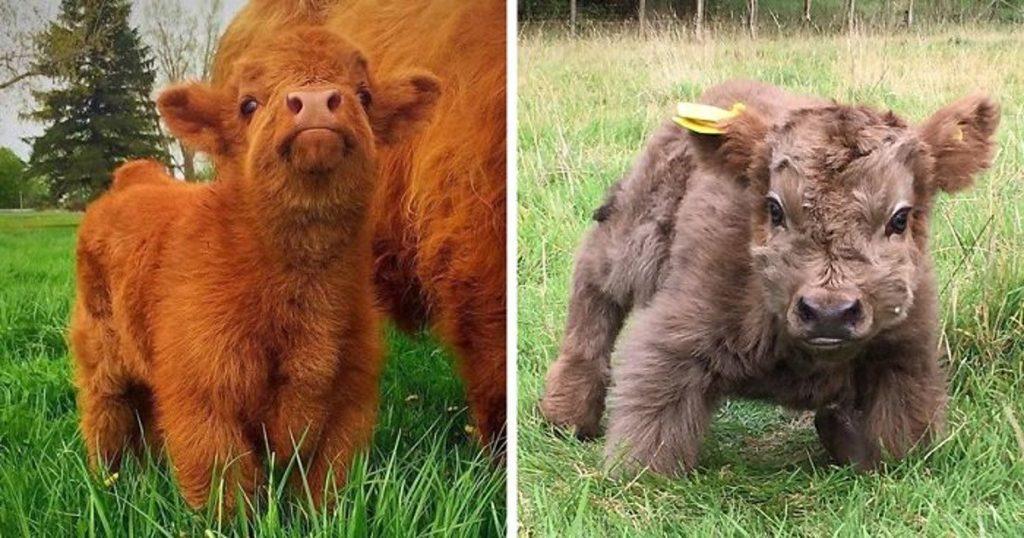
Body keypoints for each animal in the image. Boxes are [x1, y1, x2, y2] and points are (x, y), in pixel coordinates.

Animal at [69, 26, 439, 509]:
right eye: (247, 104)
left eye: (365, 94)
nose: (315, 100)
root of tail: (135, 177)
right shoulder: (204, 400)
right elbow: (226, 492)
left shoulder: (349, 405)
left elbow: (323, 489)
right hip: (100, 353)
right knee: (105, 415)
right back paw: (108, 481)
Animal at [539, 80, 999, 475]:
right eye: (775, 209)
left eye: (900, 218)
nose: (829, 313)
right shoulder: (672, 341)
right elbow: (650, 431)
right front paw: (632, 478)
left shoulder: (905, 359)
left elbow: (897, 440)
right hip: (635, 232)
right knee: (593, 284)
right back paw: (566, 413)